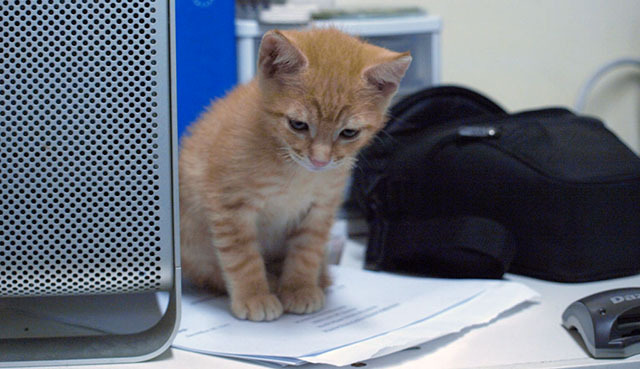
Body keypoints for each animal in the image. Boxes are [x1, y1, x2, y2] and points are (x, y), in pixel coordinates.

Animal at [180, 28, 410, 320]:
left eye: (349, 133)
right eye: (298, 125)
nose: (319, 160)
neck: (294, 170)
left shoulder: (321, 208)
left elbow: (306, 252)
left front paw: (299, 288)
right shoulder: (228, 205)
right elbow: (242, 257)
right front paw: (254, 295)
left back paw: (316, 279)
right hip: (191, 242)